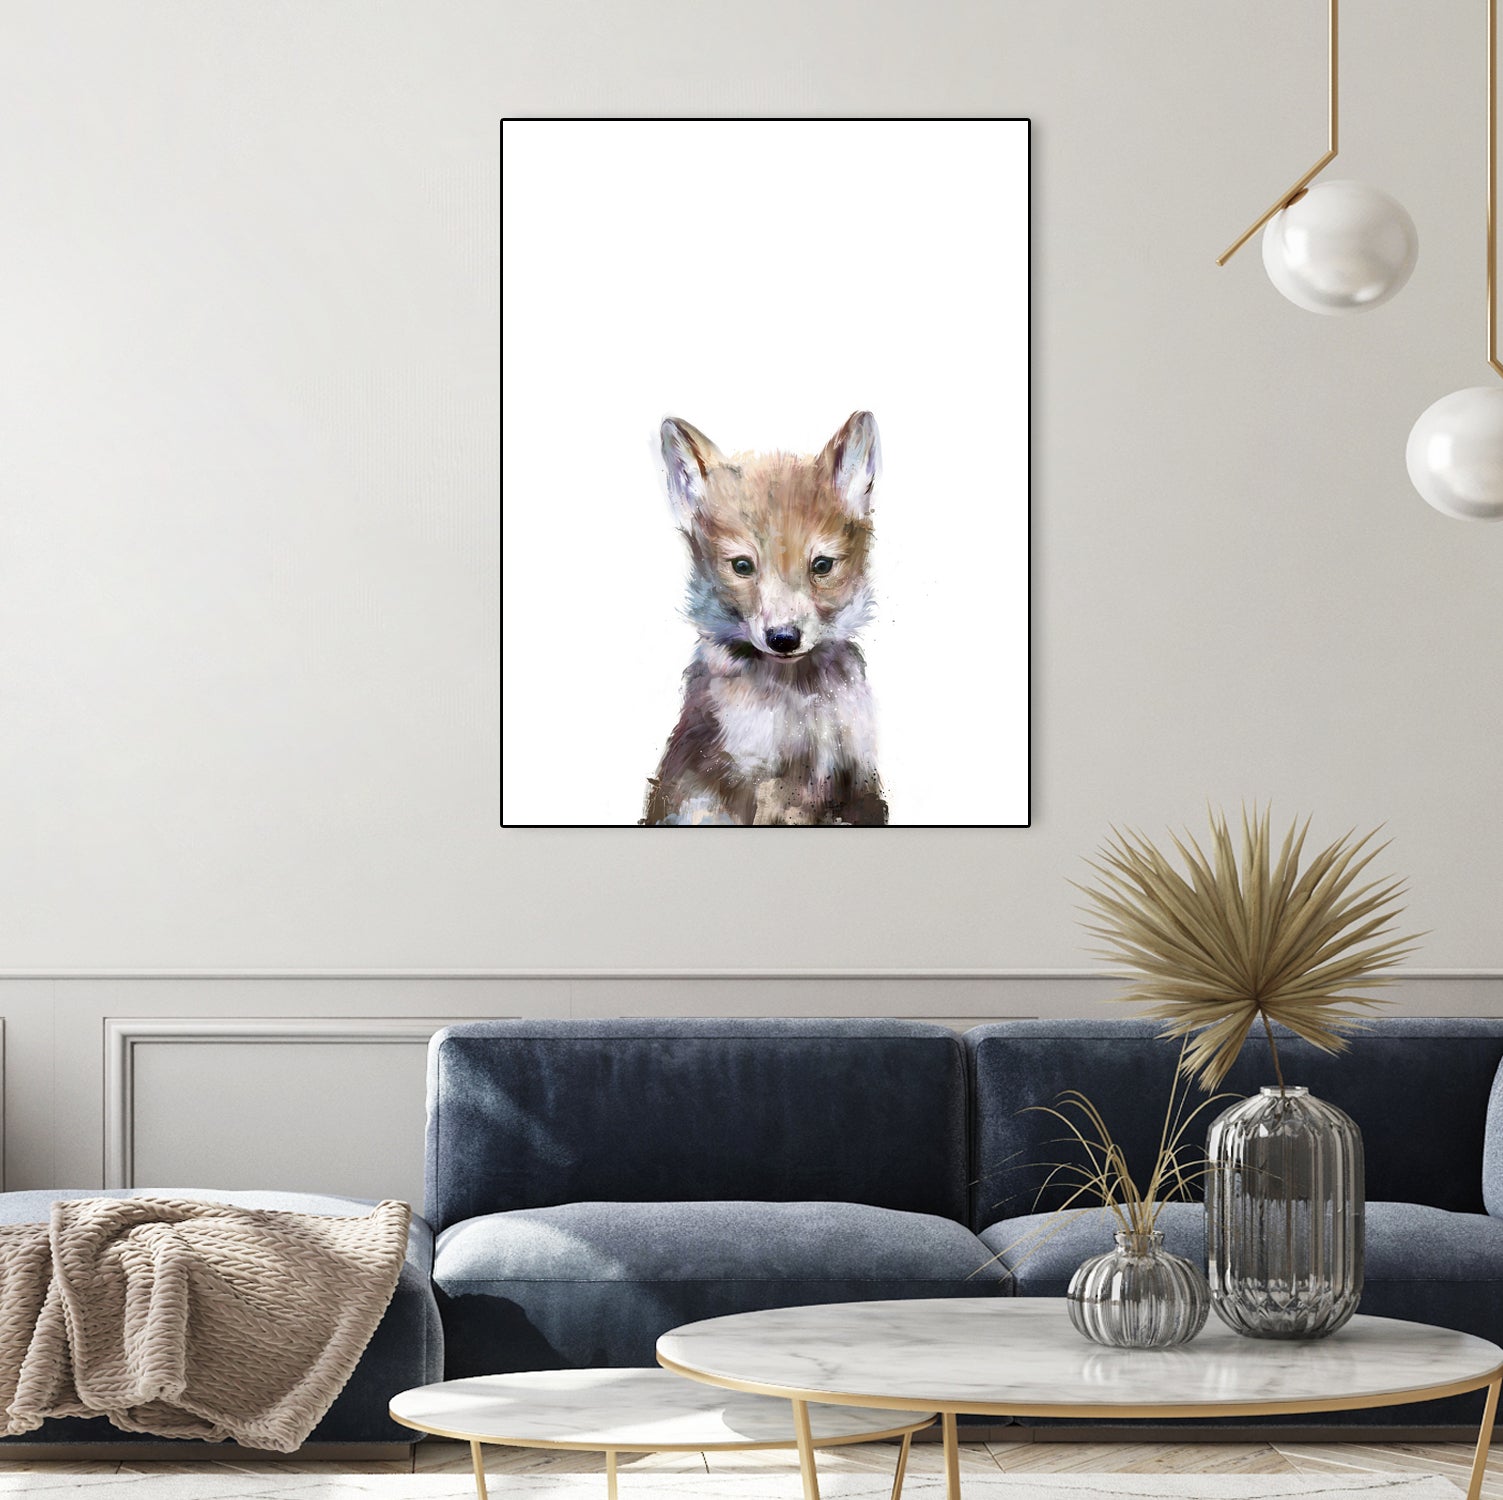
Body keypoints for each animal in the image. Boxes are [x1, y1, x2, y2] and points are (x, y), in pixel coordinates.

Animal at [642, 411, 889, 826]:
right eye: (742, 566)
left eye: (822, 565)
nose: (784, 639)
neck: (800, 702)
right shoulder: (758, 783)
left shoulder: (858, 778)